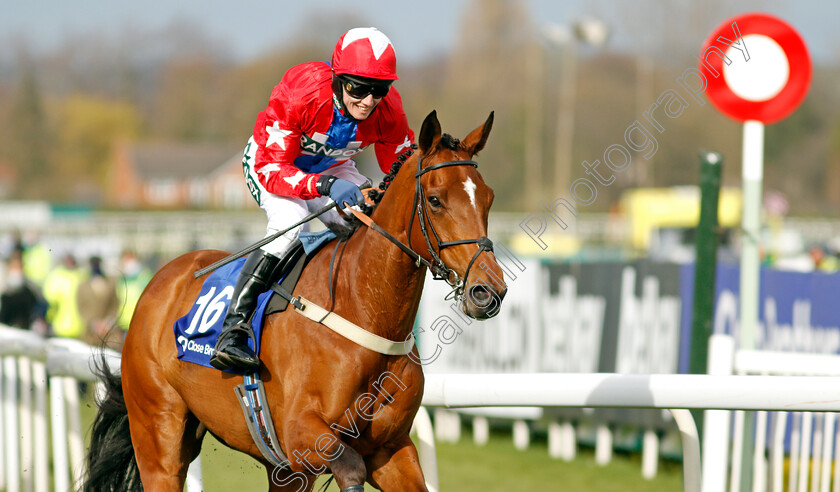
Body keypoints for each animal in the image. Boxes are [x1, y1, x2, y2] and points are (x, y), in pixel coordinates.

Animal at [85, 111, 508, 492]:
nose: (488, 291)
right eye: (435, 200)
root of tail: (162, 278)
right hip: (159, 433)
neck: (365, 309)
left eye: (488, 199)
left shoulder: (389, 447)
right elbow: (349, 468)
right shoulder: (301, 438)